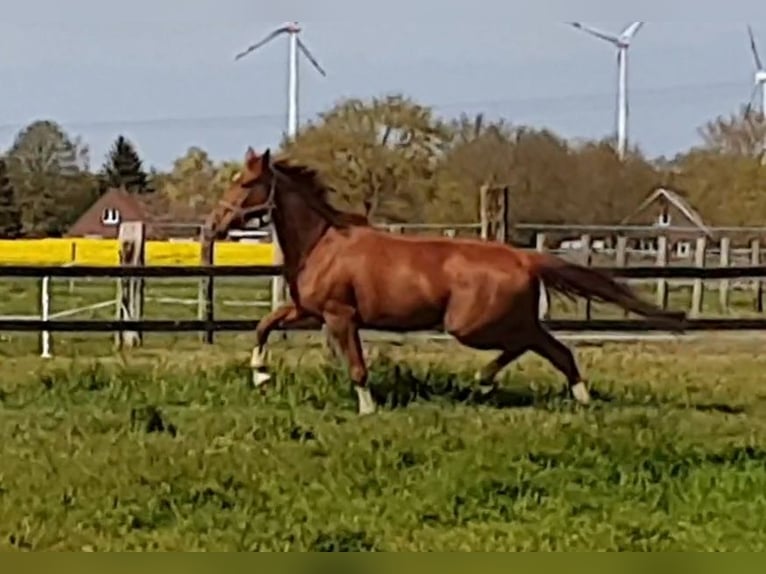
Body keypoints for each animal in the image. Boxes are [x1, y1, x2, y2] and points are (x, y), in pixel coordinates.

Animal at [206, 148, 688, 416]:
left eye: (247, 183)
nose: (213, 225)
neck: (323, 242)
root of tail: (523, 255)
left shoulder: (340, 316)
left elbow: (358, 366)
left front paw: (368, 409)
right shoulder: (311, 311)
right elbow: (264, 325)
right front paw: (260, 375)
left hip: (473, 325)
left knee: (538, 344)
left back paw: (492, 380)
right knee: (550, 347)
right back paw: (564, 394)